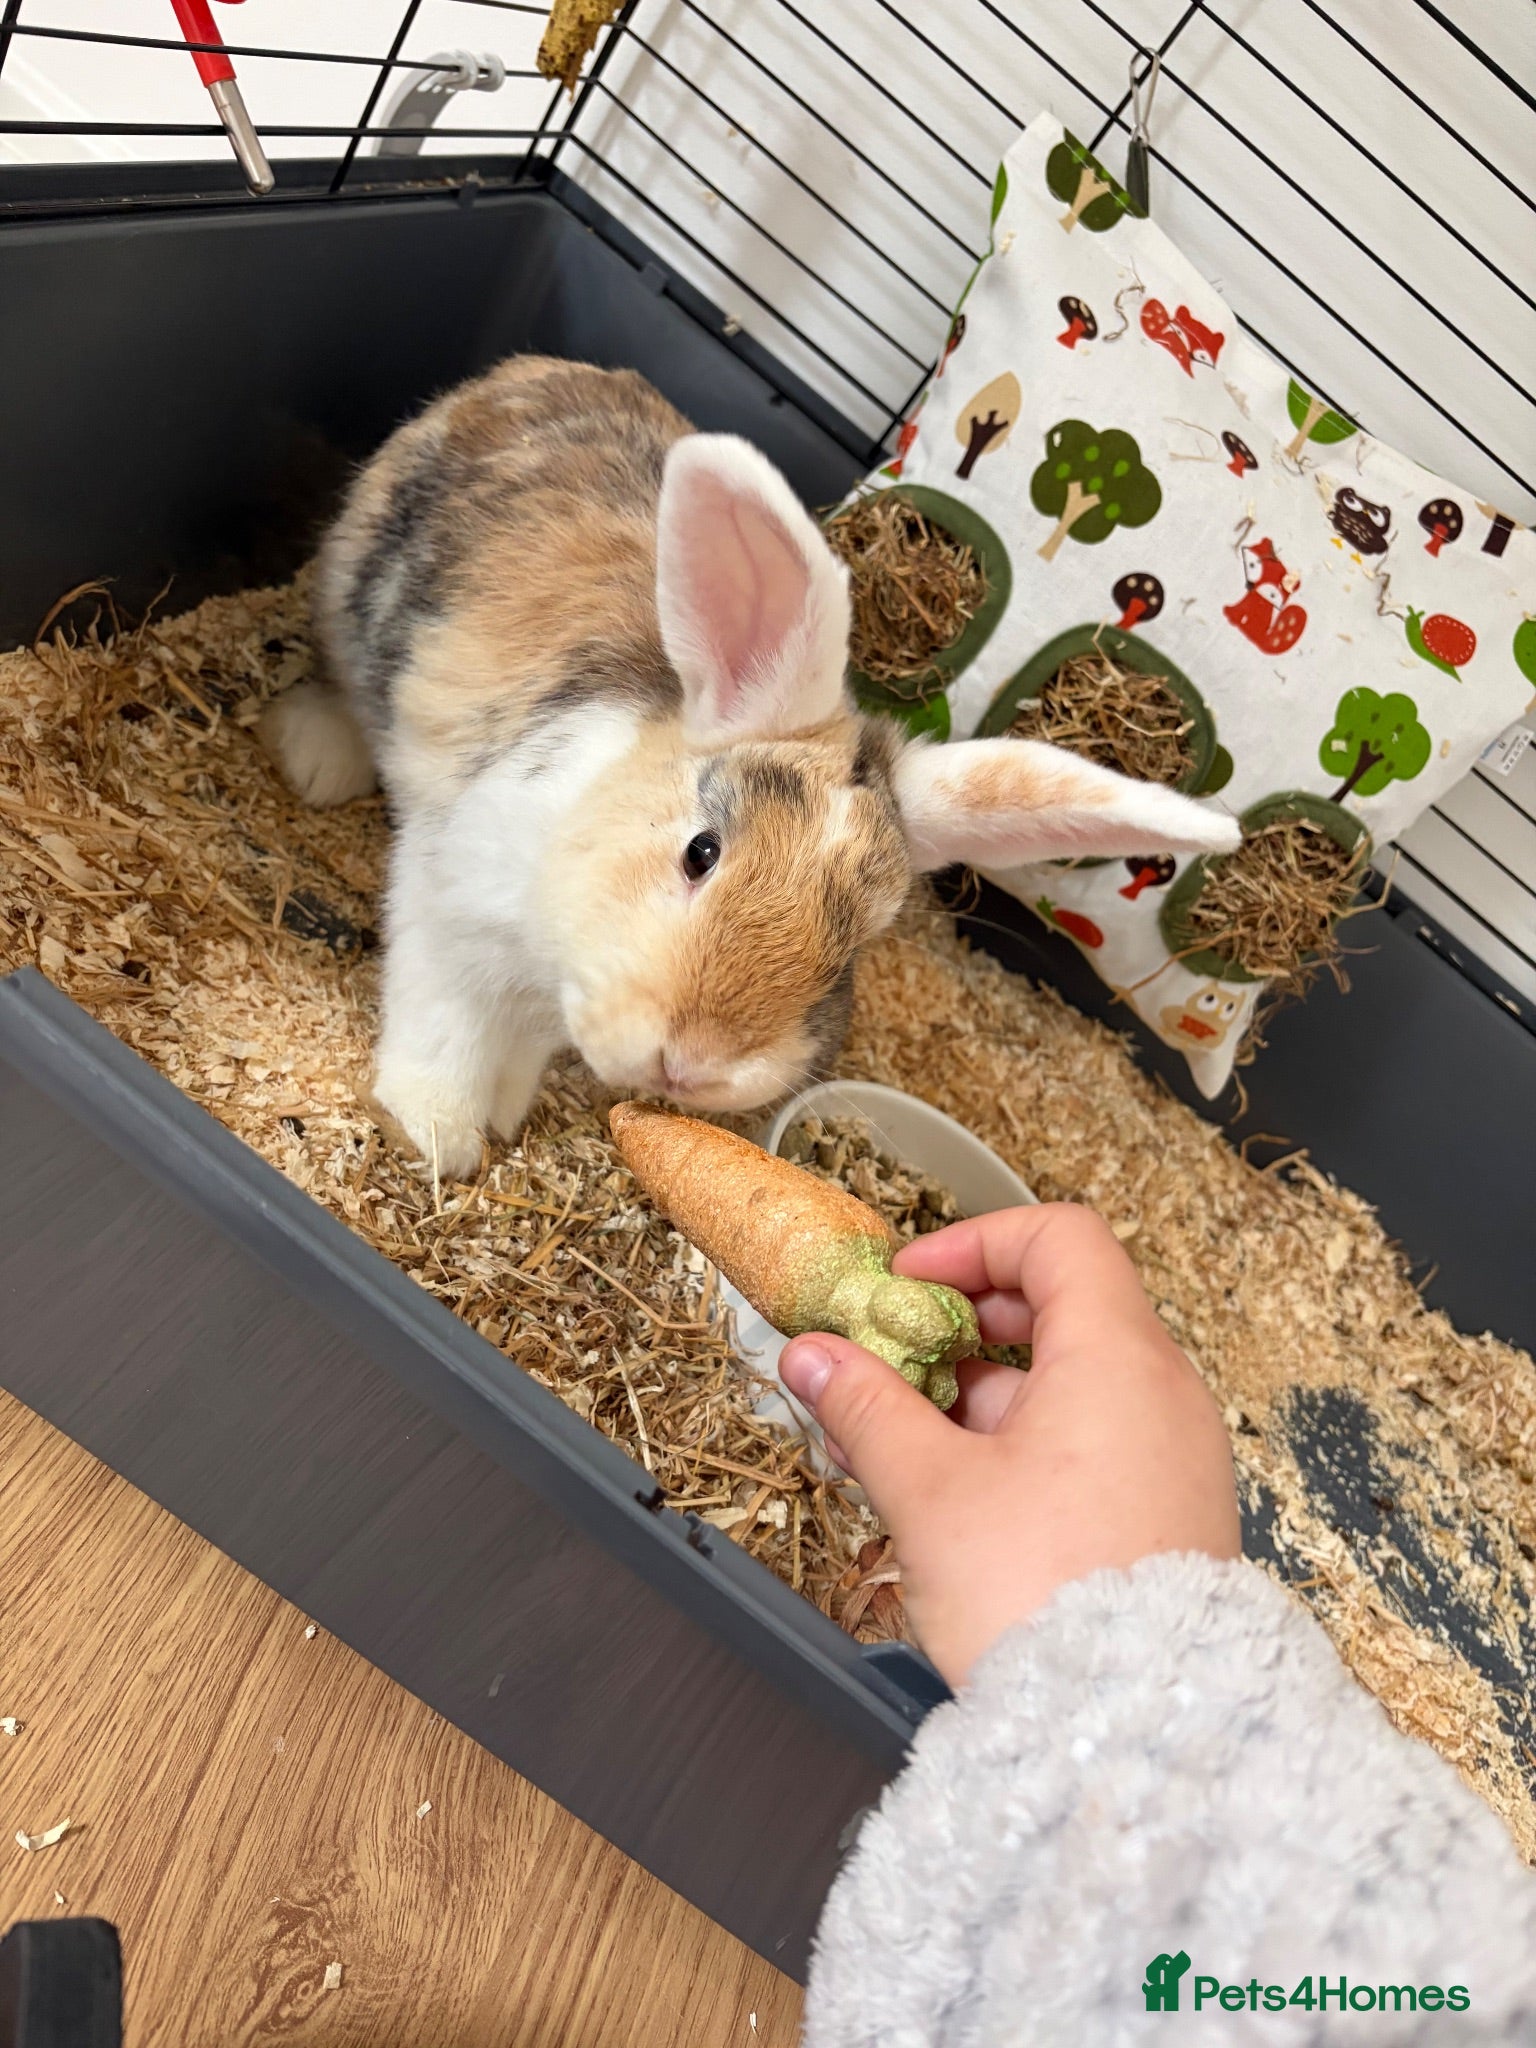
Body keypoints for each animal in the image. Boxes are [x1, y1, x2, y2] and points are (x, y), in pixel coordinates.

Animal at [262, 354, 1239, 1179]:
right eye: (701, 851)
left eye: (855, 947)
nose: (694, 1063)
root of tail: (532, 371)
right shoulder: (450, 913)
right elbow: (445, 1032)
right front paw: (436, 1134)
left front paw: (502, 1113)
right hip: (350, 583)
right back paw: (317, 754)